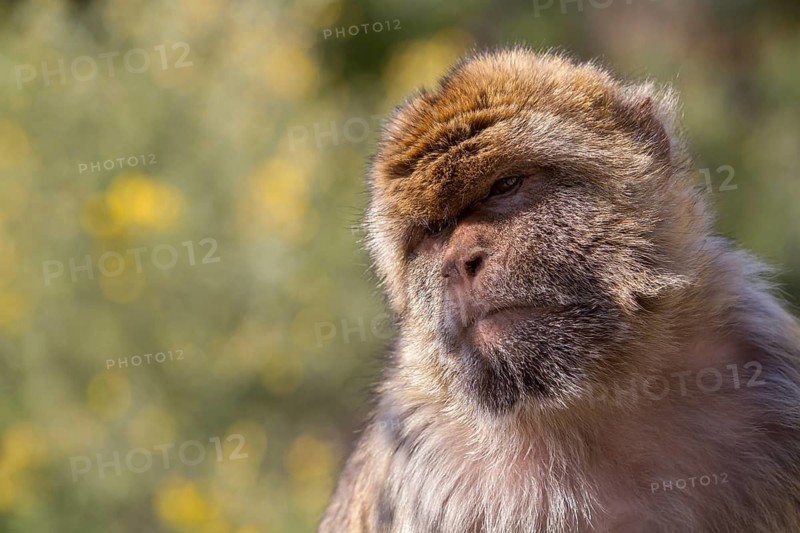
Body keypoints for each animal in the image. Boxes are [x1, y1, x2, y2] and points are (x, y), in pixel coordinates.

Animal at [319, 47, 800, 532]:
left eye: (504, 186)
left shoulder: (766, 365)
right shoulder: (421, 462)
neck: (596, 392)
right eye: (434, 230)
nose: (458, 264)